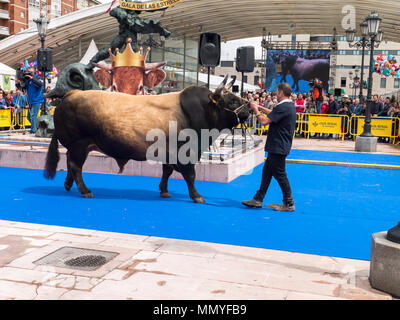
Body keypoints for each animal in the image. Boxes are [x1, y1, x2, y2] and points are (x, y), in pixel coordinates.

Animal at [44, 76, 250, 204]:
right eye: (232, 101)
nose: (249, 109)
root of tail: (72, 94)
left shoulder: (169, 153)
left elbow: (167, 171)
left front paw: (164, 191)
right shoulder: (185, 153)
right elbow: (190, 175)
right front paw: (197, 196)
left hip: (79, 146)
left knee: (70, 163)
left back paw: (68, 184)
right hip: (79, 144)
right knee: (76, 166)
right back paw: (85, 190)